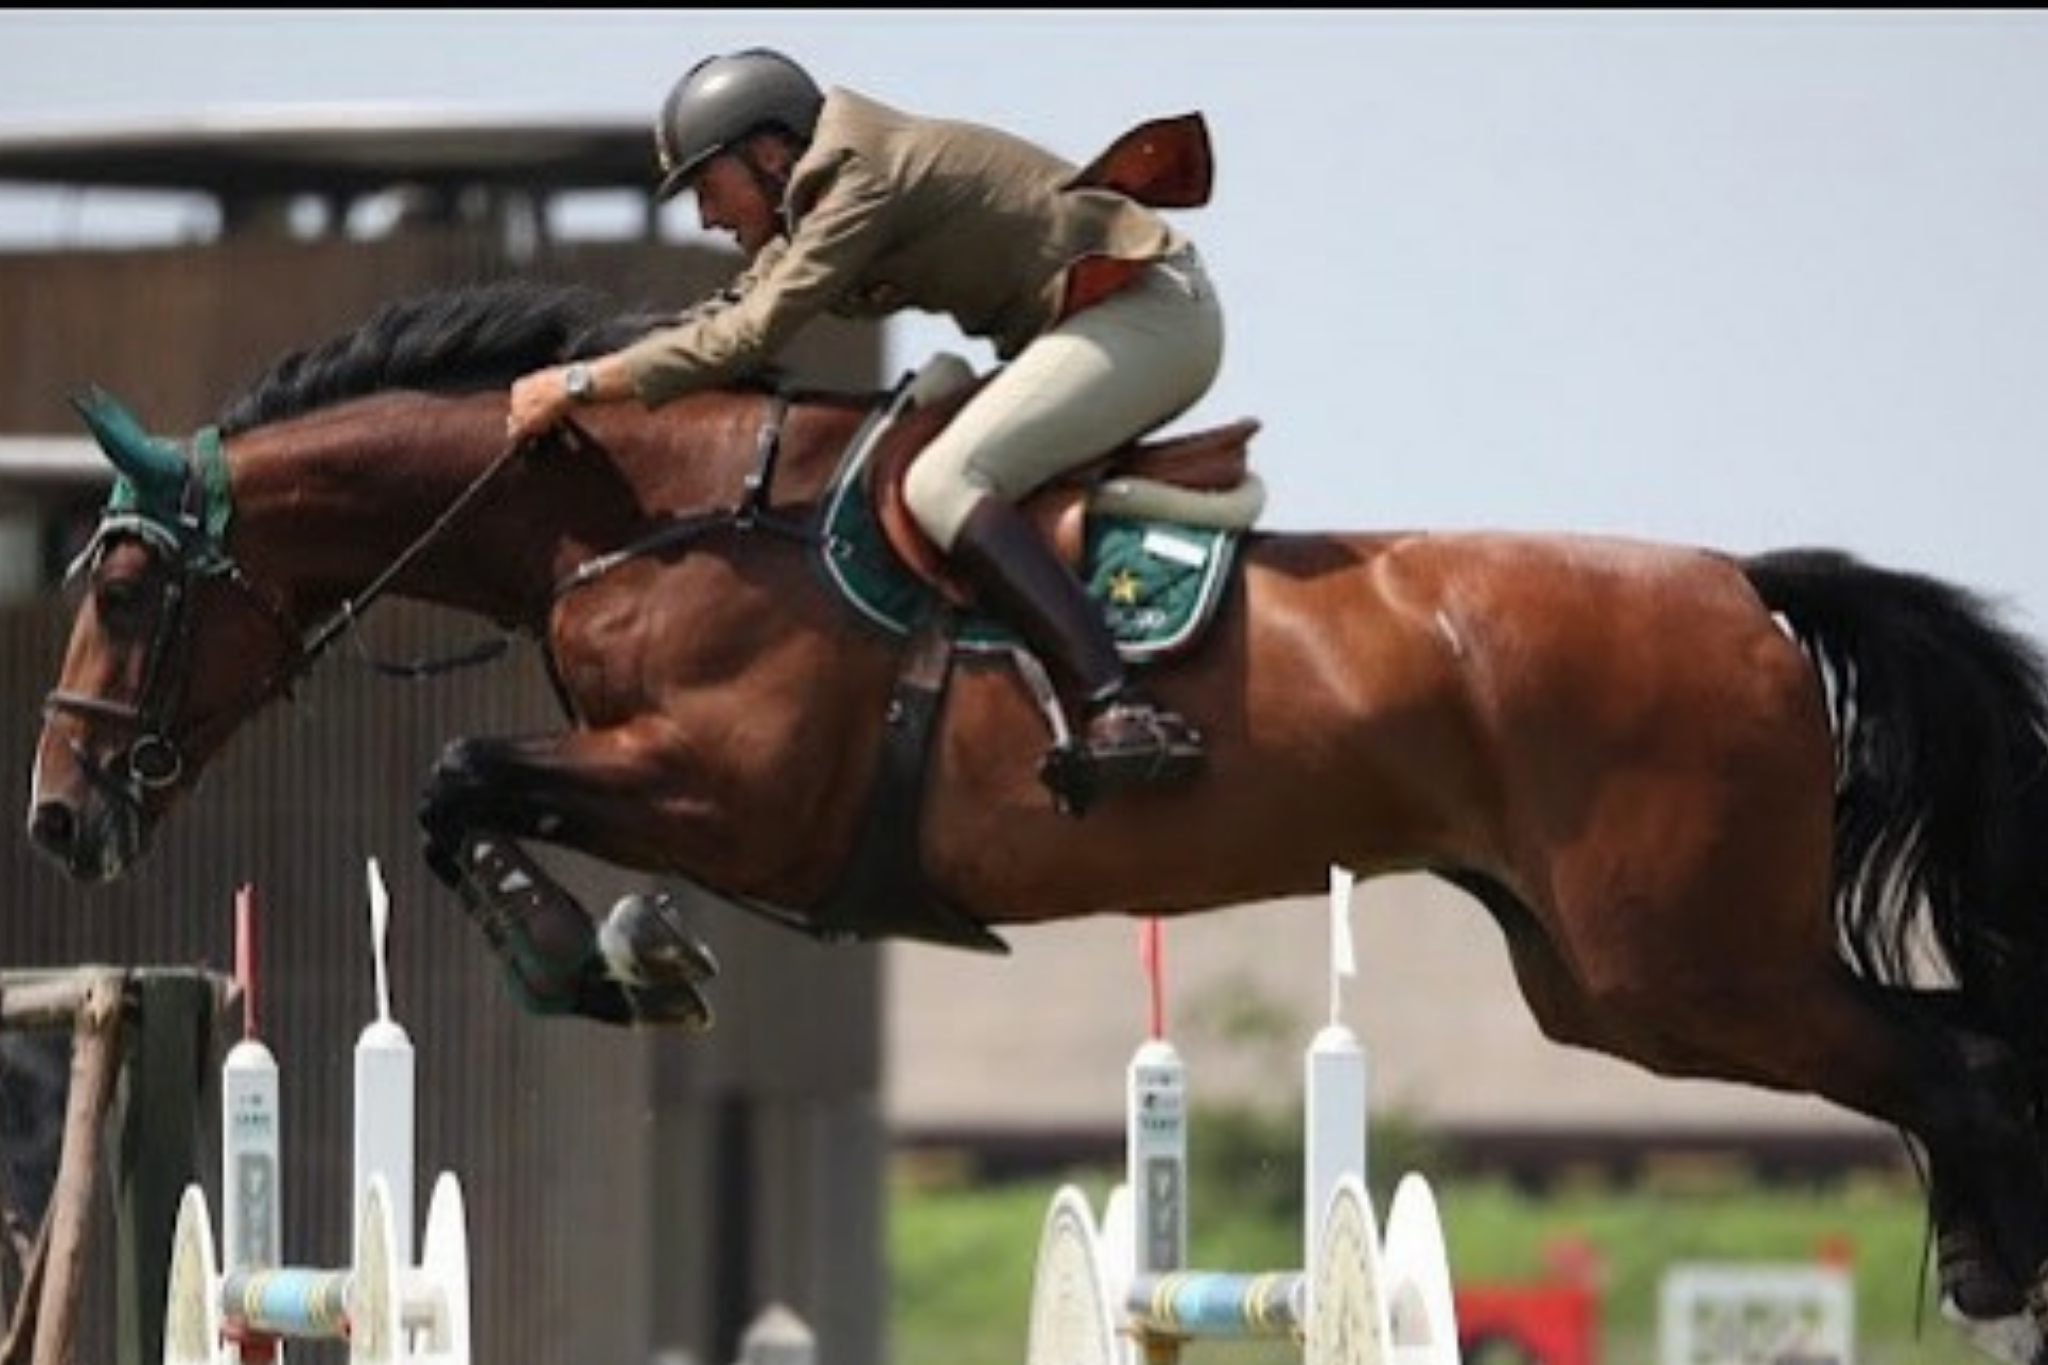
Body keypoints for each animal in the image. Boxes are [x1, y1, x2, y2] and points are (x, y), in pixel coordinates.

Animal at [24, 280, 2048, 1365]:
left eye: (118, 583)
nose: (58, 821)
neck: (644, 514)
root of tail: (1746, 588)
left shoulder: (731, 791)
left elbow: (462, 780)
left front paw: (610, 958)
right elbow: (469, 800)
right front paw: (619, 951)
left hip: (1690, 966)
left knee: (1955, 1063)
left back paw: (1992, 1279)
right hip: (1613, 984)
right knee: (1953, 1048)